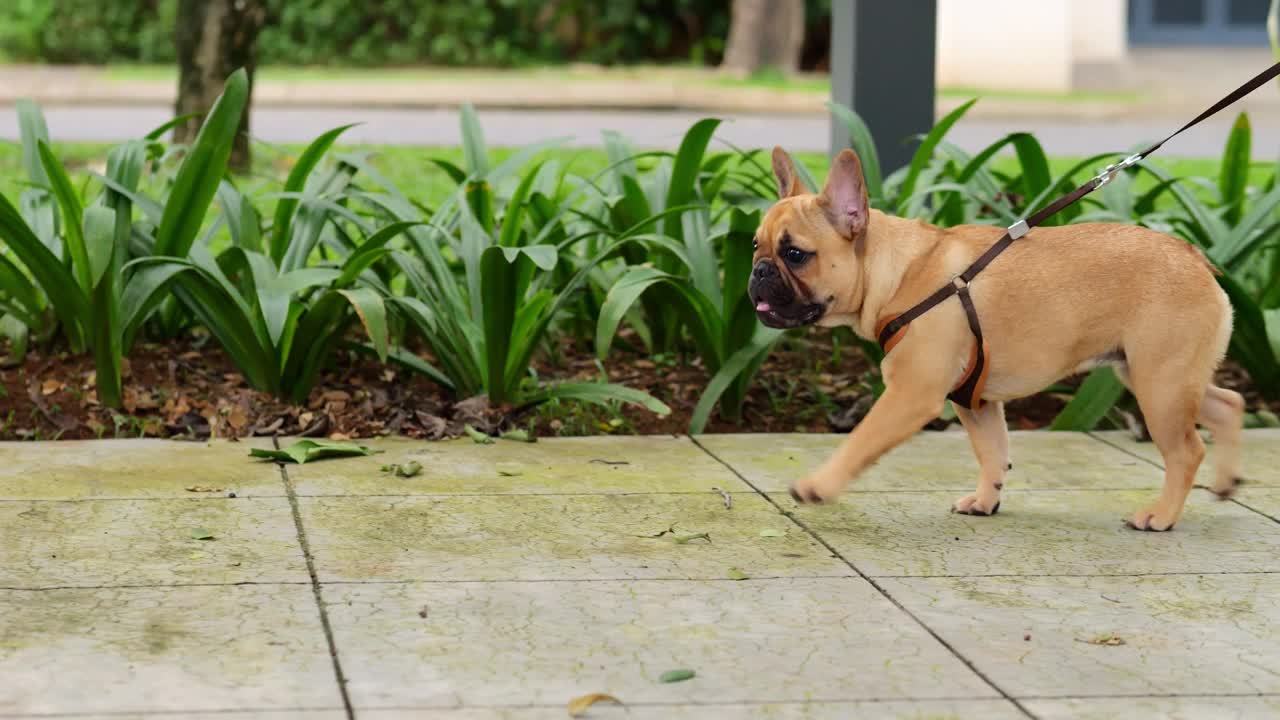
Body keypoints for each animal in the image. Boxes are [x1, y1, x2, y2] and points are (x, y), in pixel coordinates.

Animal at [752, 147, 1244, 527]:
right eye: (756, 245)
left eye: (795, 254)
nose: (757, 272)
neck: (896, 273)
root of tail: (1193, 256)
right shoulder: (976, 401)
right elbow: (992, 452)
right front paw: (987, 501)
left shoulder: (910, 395)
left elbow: (860, 441)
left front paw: (818, 485)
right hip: (1157, 376)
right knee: (1228, 404)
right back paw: (1225, 483)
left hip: (1159, 385)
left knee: (1186, 451)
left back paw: (1161, 516)